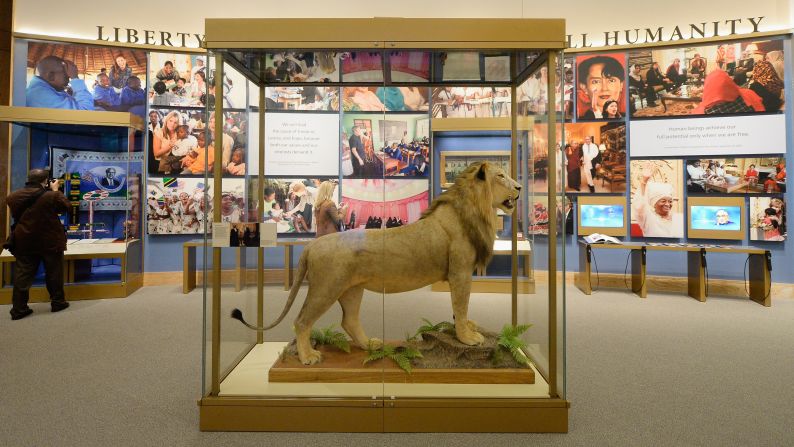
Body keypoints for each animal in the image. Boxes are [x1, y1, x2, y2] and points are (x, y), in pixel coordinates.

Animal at [230, 163, 520, 366]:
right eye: (501, 176)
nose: (518, 187)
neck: (475, 210)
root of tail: (311, 245)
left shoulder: (461, 273)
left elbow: (461, 309)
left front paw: (470, 328)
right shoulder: (460, 272)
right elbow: (460, 306)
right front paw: (468, 338)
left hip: (351, 289)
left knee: (349, 320)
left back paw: (369, 345)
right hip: (326, 288)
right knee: (302, 321)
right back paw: (308, 356)